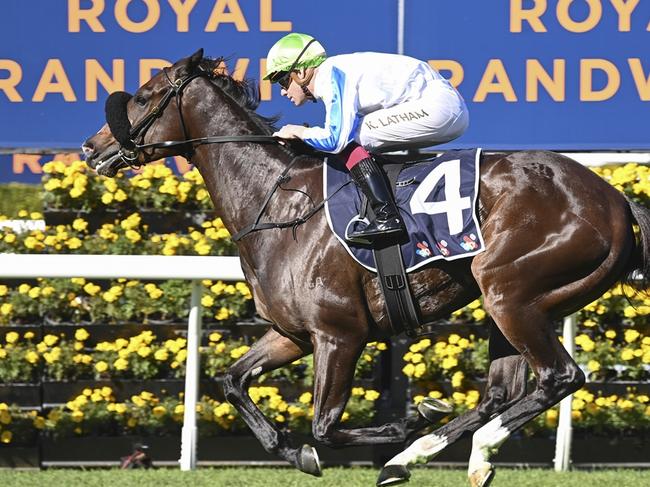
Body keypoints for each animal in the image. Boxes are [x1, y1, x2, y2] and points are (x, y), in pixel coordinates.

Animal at [81, 51, 648, 486]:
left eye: (146, 94)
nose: (90, 148)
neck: (277, 202)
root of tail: (615, 198)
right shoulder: (292, 333)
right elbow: (232, 382)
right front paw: (298, 453)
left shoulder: (340, 333)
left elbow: (325, 425)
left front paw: (405, 421)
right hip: (512, 304)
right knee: (500, 394)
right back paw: (433, 458)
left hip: (510, 291)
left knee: (559, 376)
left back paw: (444, 449)